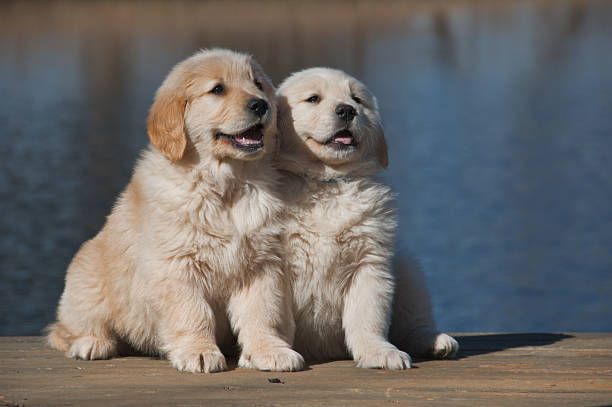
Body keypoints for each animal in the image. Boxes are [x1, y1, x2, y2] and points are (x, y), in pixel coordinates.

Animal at [46, 49, 304, 374]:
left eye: (258, 84)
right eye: (217, 89)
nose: (261, 104)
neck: (225, 186)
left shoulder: (261, 264)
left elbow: (263, 311)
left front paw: (269, 350)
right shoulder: (177, 265)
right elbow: (192, 312)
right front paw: (199, 351)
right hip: (85, 276)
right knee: (63, 329)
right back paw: (92, 343)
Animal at [274, 67, 456, 370]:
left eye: (357, 99)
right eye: (313, 99)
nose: (347, 110)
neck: (327, 183)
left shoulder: (370, 263)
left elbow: (367, 316)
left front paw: (379, 352)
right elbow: (276, 316)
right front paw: (274, 350)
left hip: (406, 266)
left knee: (411, 321)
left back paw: (435, 341)